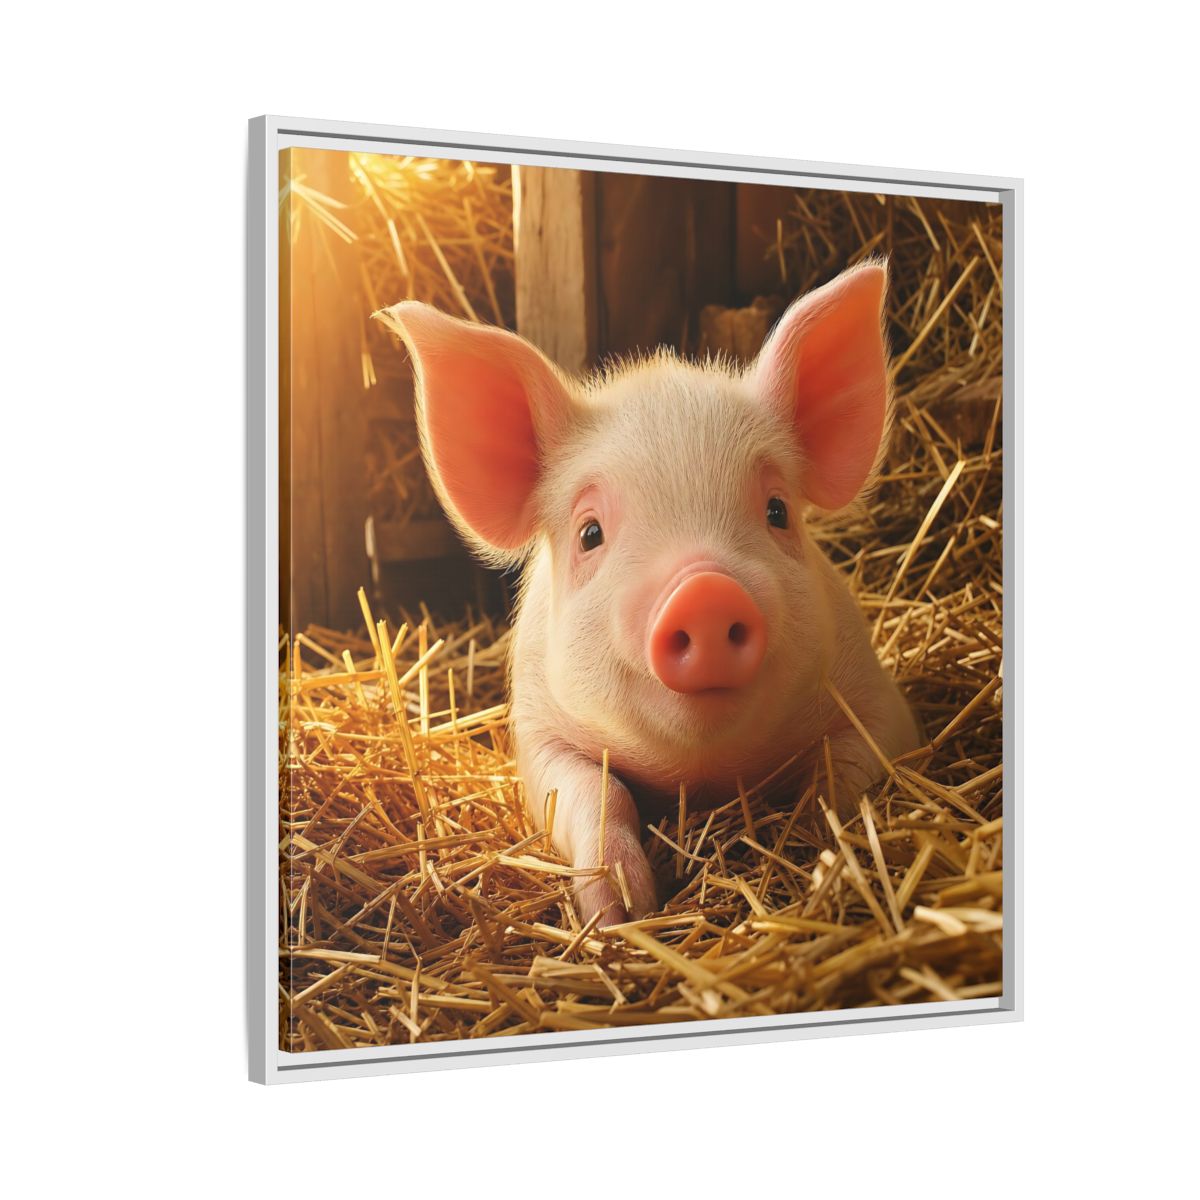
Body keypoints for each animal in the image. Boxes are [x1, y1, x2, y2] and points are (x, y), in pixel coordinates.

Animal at [377, 261, 920, 927]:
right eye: (590, 533)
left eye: (778, 511)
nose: (704, 591)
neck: (702, 775)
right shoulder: (537, 732)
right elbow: (596, 792)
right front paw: (621, 914)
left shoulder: (877, 700)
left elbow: (842, 772)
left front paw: (821, 850)